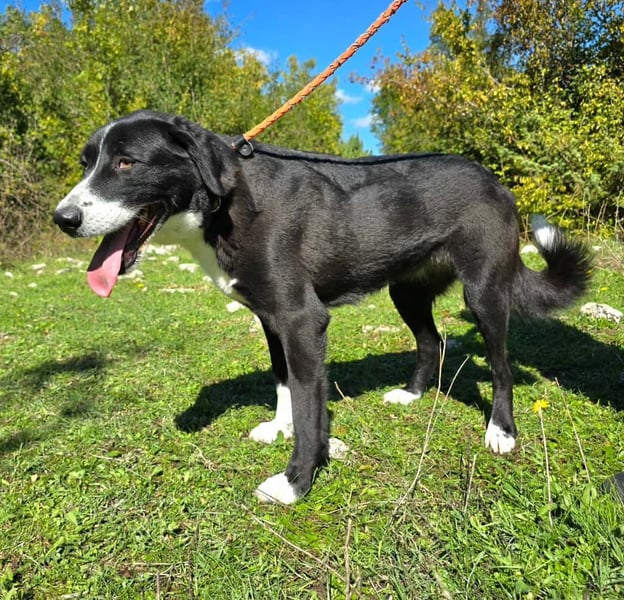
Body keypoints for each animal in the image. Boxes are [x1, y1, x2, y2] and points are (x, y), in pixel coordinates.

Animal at [54, 110, 591, 504]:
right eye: (85, 163)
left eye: (126, 163)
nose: (63, 218)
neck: (228, 205)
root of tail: (495, 181)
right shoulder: (271, 319)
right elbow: (284, 384)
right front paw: (279, 426)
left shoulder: (302, 320)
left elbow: (311, 409)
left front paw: (295, 481)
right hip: (406, 291)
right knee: (431, 341)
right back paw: (413, 395)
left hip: (483, 292)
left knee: (500, 365)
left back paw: (501, 431)